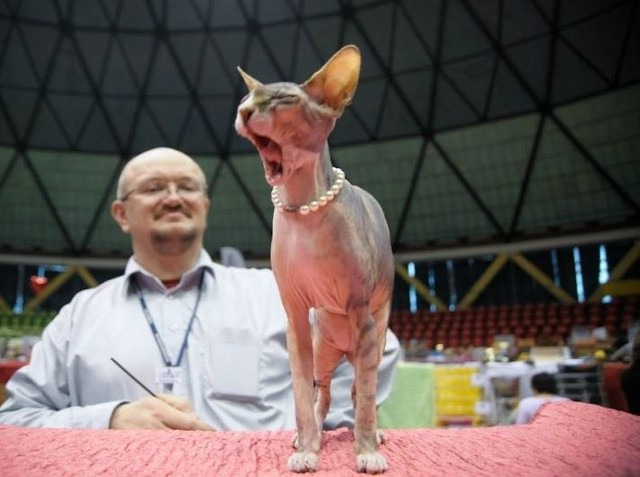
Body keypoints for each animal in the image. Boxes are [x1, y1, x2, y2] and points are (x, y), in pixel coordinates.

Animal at [236, 44, 396, 472]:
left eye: (282, 99)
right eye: (246, 98)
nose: (244, 111)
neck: (303, 209)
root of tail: (342, 349)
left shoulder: (360, 311)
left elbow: (366, 402)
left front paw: (366, 450)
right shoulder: (294, 317)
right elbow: (301, 397)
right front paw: (308, 448)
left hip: (371, 338)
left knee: (359, 390)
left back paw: (370, 436)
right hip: (323, 346)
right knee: (322, 391)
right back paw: (315, 436)